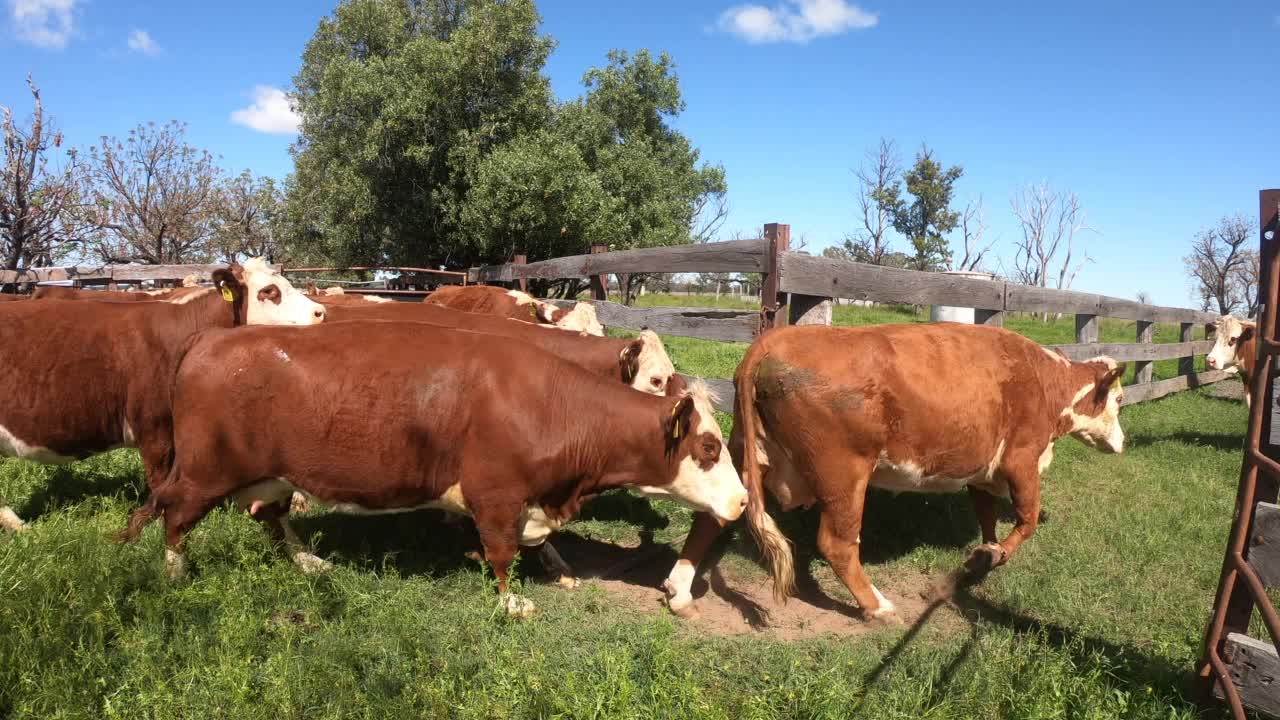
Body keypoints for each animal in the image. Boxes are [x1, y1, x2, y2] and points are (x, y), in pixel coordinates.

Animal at [129, 322, 747, 614]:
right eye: (709, 448)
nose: (742, 502)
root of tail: (211, 338)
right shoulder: (495, 493)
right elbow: (500, 554)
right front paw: (511, 602)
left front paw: (558, 567)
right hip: (205, 470)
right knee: (174, 515)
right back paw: (174, 574)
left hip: (269, 473)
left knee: (269, 515)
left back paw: (308, 561)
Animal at [655, 322, 1126, 620]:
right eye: (1119, 401)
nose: (1121, 443)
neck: (1044, 380)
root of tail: (774, 341)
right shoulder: (1022, 459)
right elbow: (1026, 521)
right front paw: (993, 555)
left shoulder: (981, 468)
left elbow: (987, 516)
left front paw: (982, 556)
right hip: (844, 475)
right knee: (838, 545)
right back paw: (877, 607)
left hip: (739, 458)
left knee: (714, 515)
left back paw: (679, 591)